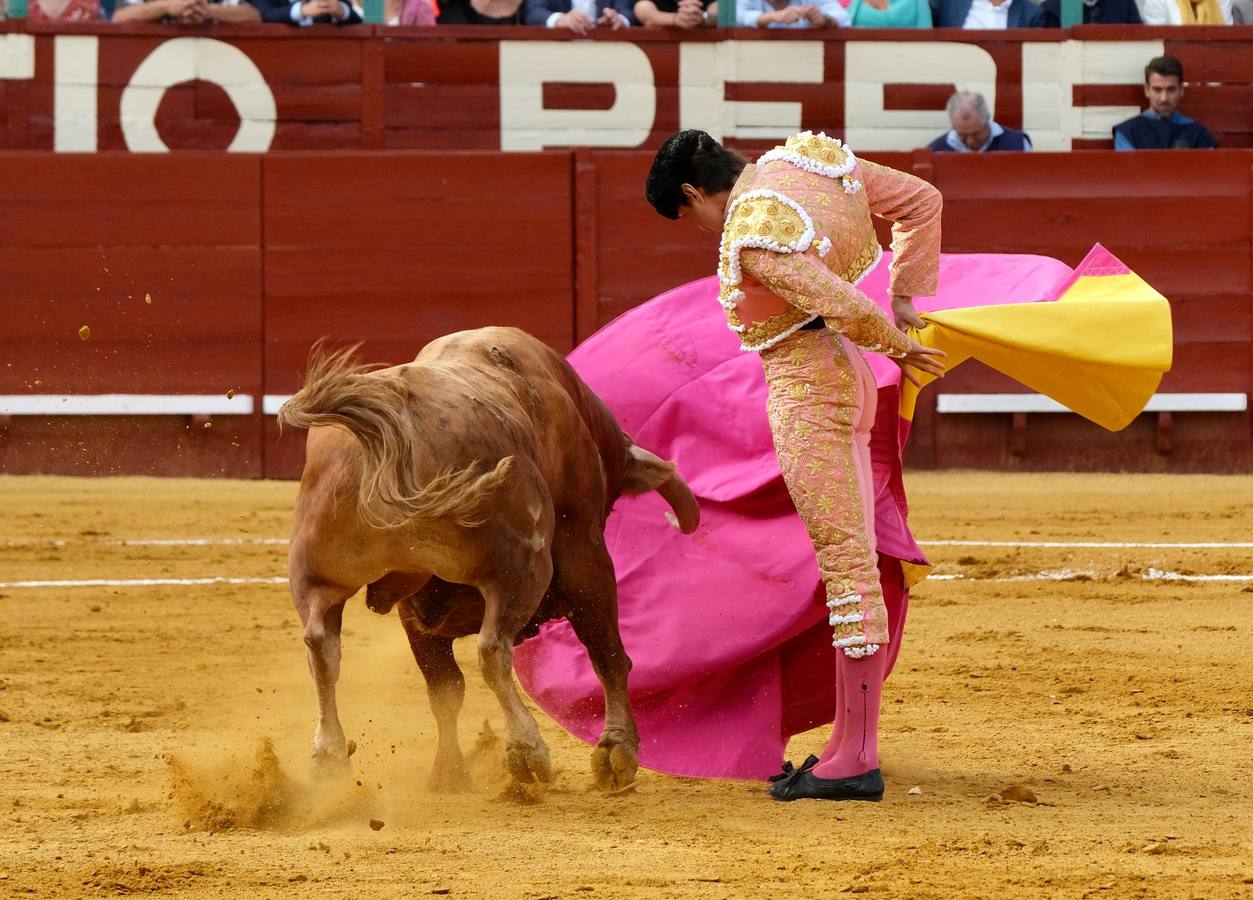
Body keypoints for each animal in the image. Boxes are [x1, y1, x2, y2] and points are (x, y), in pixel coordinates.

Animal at [278, 328, 701, 792]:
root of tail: (390, 432)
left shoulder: (414, 611)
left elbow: (445, 690)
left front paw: (448, 773)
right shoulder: (585, 552)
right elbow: (606, 651)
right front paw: (617, 752)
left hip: (316, 577)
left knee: (322, 651)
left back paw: (329, 759)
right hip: (518, 569)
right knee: (494, 649)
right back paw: (528, 751)